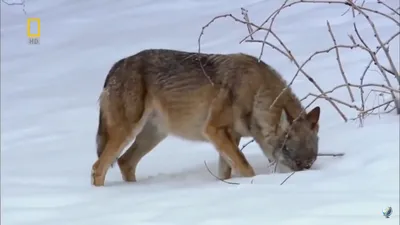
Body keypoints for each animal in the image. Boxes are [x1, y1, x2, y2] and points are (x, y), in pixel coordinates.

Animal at [92, 48, 320, 186]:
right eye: (291, 155)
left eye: (310, 162)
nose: (302, 175)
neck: (256, 93)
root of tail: (116, 65)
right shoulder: (214, 130)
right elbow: (246, 168)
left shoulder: (230, 137)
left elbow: (226, 172)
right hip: (127, 132)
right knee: (98, 167)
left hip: (153, 136)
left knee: (125, 162)